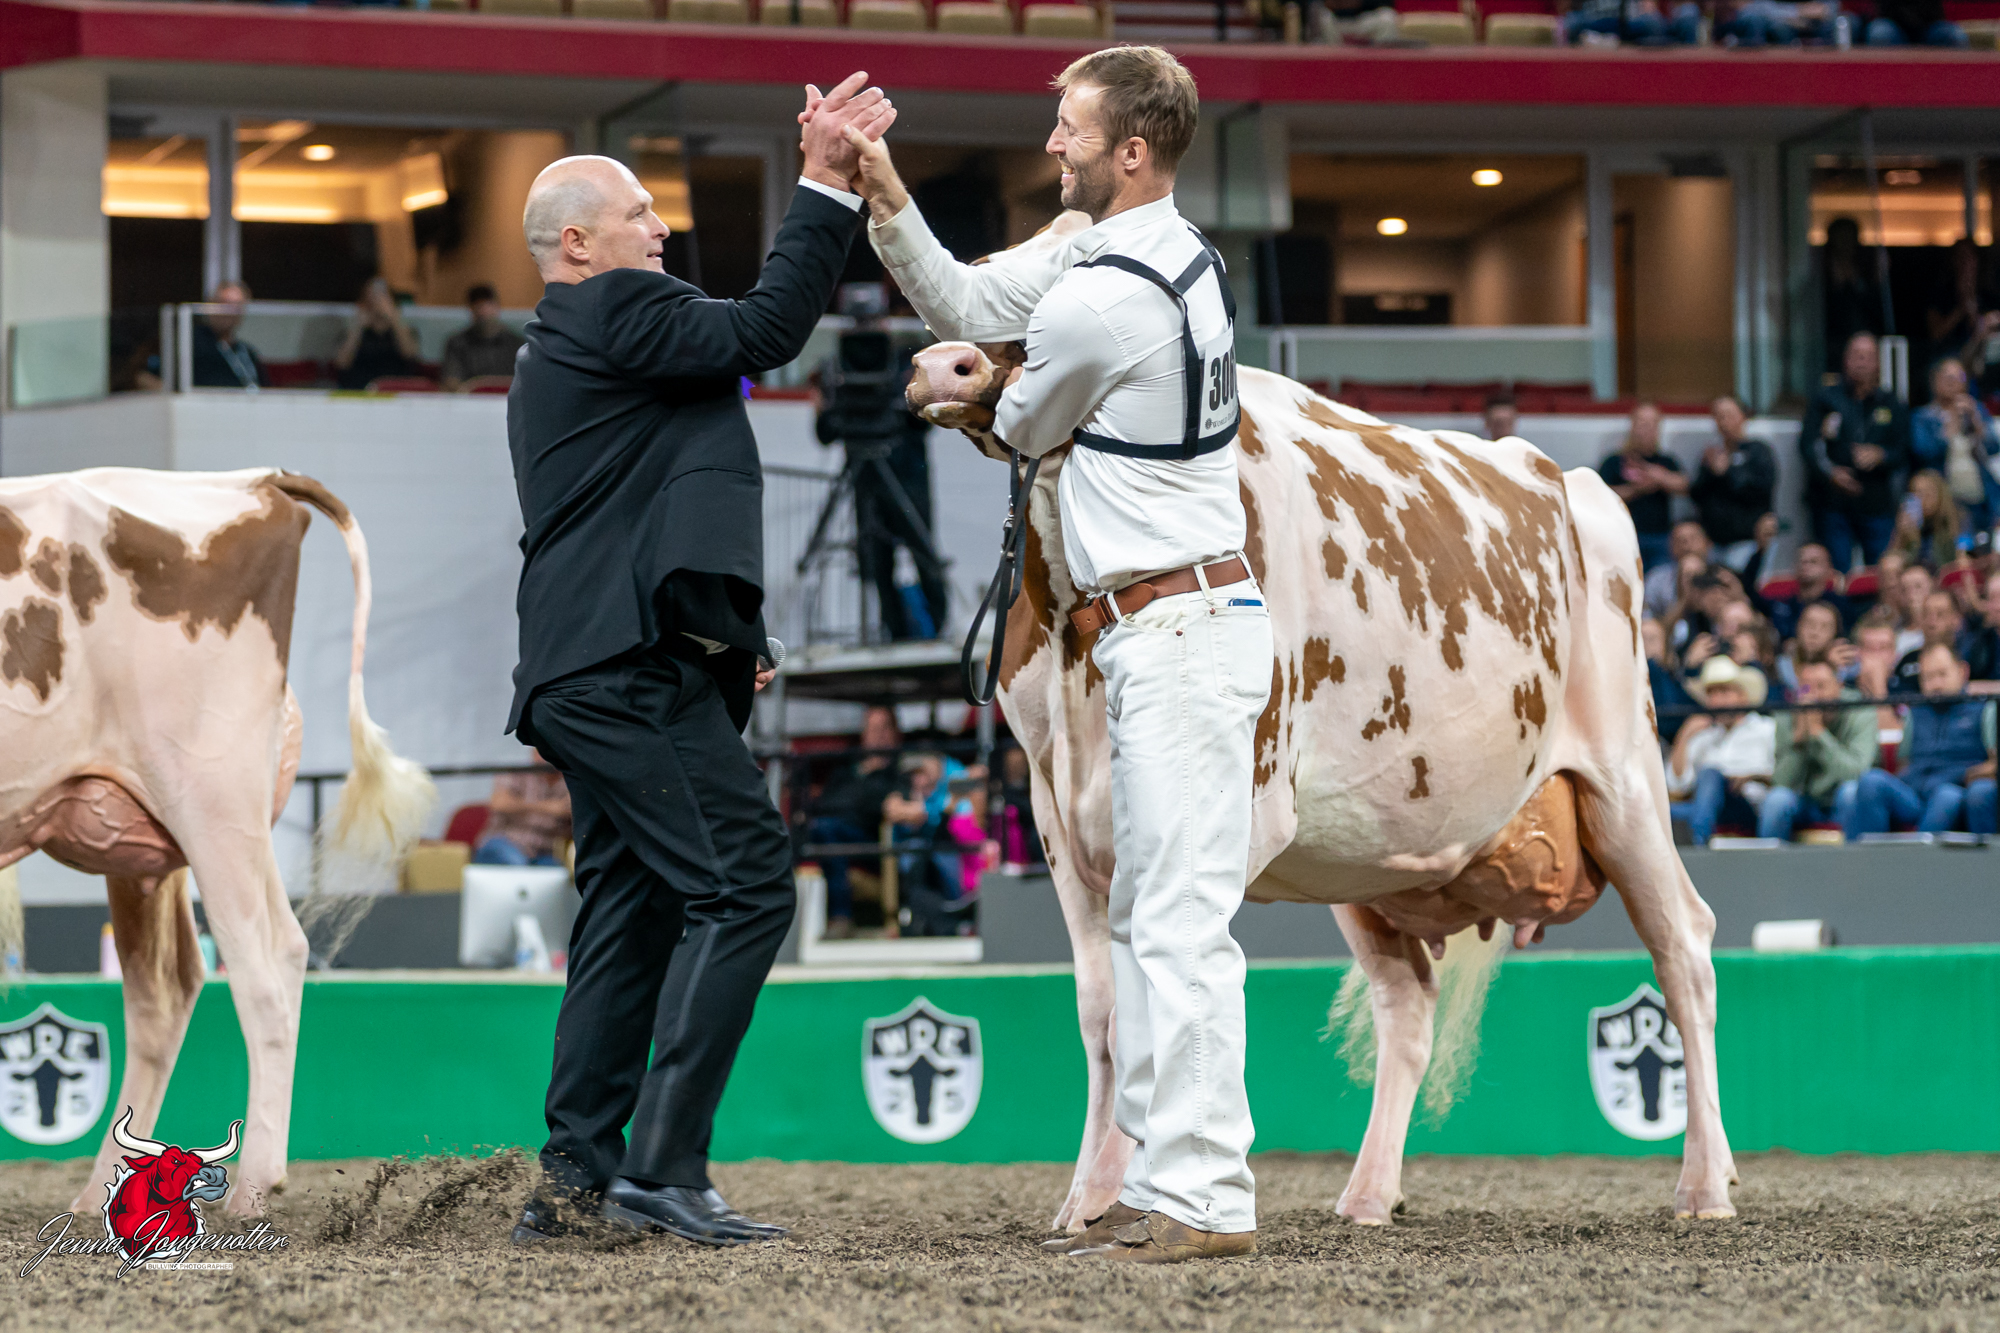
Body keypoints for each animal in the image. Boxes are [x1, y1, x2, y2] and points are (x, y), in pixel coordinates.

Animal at [0, 467, 434, 1217]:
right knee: (179, 983)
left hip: (210, 797)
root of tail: (255, 478)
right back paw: (105, 1193)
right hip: (155, 833)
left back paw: (253, 1187)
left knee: (261, 968)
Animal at [906, 255, 1734, 1230]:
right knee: (1406, 1001)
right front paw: (1088, 1198)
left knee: (1685, 949)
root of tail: (1569, 478)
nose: (944, 366)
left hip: (1625, 779)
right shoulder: (1057, 817)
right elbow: (1105, 1014)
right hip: (1368, 854)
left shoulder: (1237, 803)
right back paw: (1369, 1192)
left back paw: (1705, 1183)